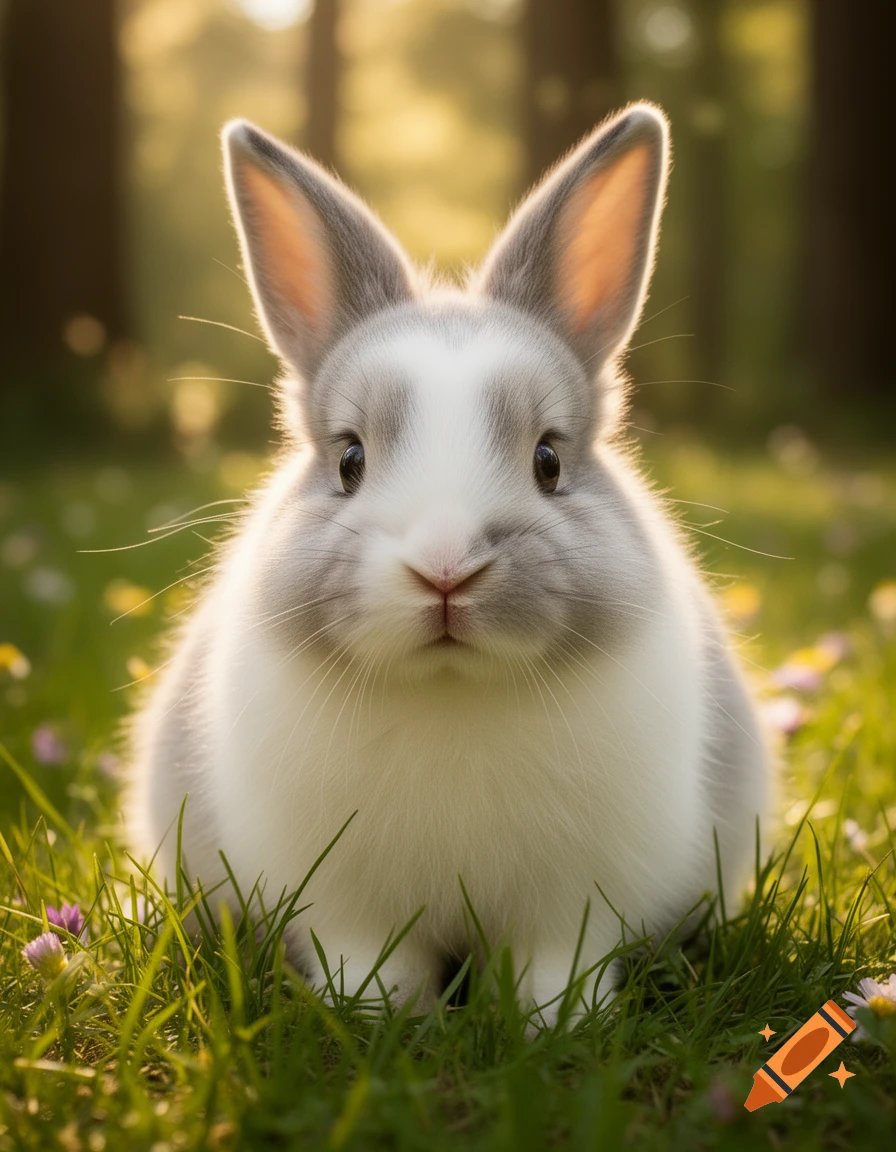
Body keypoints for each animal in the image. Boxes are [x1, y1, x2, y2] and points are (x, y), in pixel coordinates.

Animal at [127, 102, 769, 1028]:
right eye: (349, 459)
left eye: (549, 461)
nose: (443, 569)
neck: (450, 688)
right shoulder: (347, 910)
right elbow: (374, 967)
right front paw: (383, 1021)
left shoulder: (571, 910)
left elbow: (557, 969)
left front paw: (560, 1026)